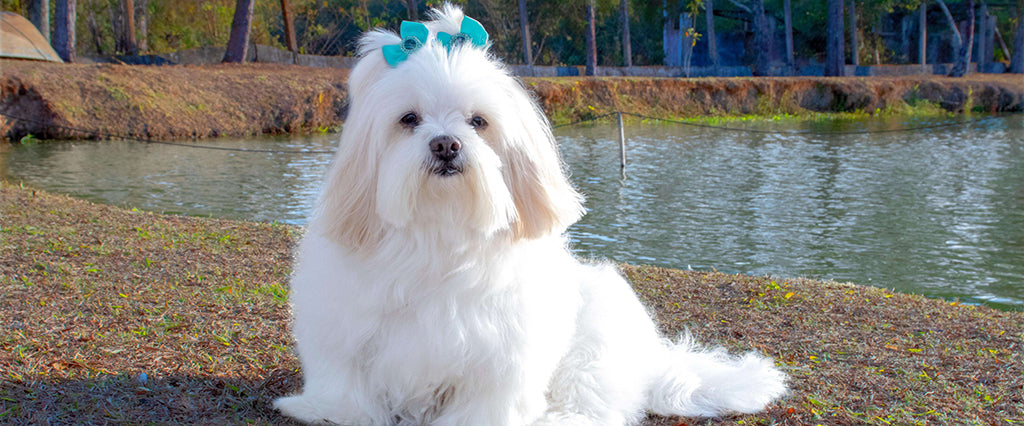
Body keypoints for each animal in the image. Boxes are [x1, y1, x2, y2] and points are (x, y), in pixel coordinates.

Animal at [276, 4, 786, 423]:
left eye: (478, 121)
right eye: (409, 120)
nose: (446, 144)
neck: (440, 230)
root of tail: (652, 361)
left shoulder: (502, 355)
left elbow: (486, 403)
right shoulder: (345, 331)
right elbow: (346, 388)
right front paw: (325, 410)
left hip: (592, 351)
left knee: (591, 407)